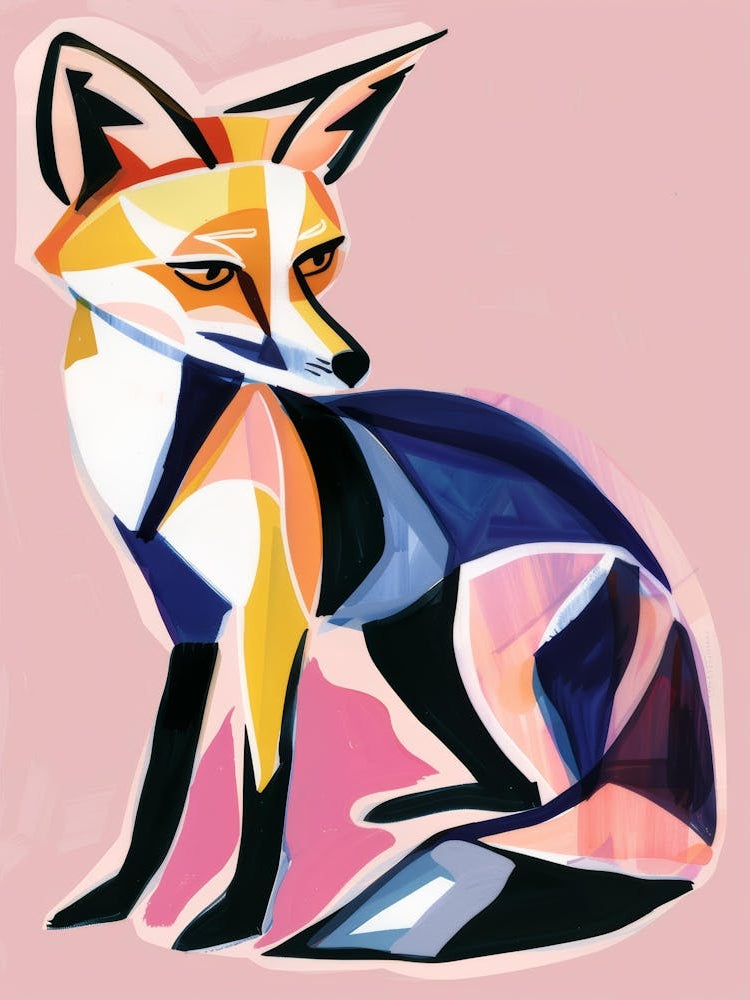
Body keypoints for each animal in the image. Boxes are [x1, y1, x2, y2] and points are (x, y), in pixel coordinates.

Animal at [19, 20, 719, 971]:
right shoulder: (186, 619)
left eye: (316, 258)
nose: (351, 365)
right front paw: (115, 901)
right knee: (511, 782)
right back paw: (421, 809)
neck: (170, 447)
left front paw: (231, 921)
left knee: (545, 794)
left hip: (488, 666)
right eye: (209, 273)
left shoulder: (270, 620)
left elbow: (264, 780)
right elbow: (162, 779)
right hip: (409, 646)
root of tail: (642, 551)